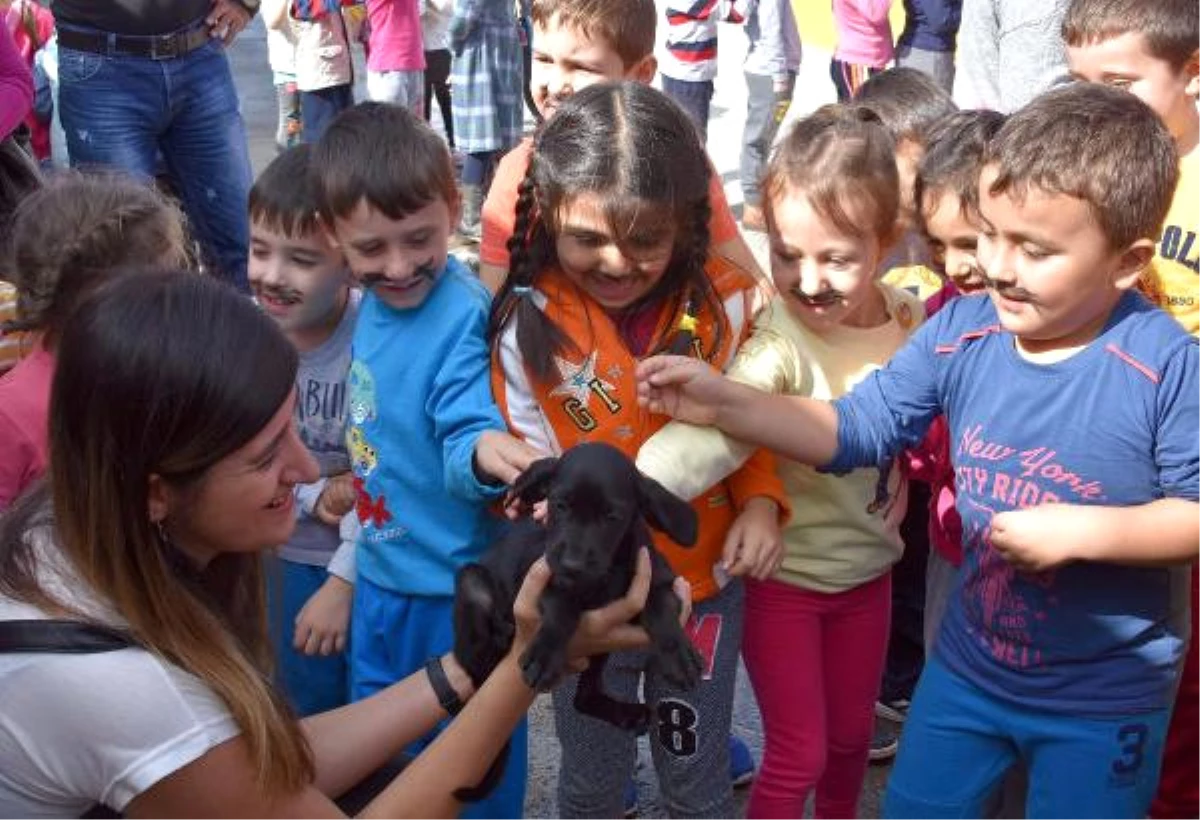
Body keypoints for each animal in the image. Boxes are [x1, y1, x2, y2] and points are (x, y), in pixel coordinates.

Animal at [453, 441, 705, 801]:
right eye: (560, 505)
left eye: (611, 517)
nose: (572, 565)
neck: (605, 575)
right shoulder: (547, 576)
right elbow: (562, 609)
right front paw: (544, 653)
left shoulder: (656, 580)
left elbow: (660, 608)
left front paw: (679, 655)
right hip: (471, 584)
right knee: (476, 663)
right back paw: (503, 633)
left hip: (599, 654)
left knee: (582, 698)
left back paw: (626, 713)